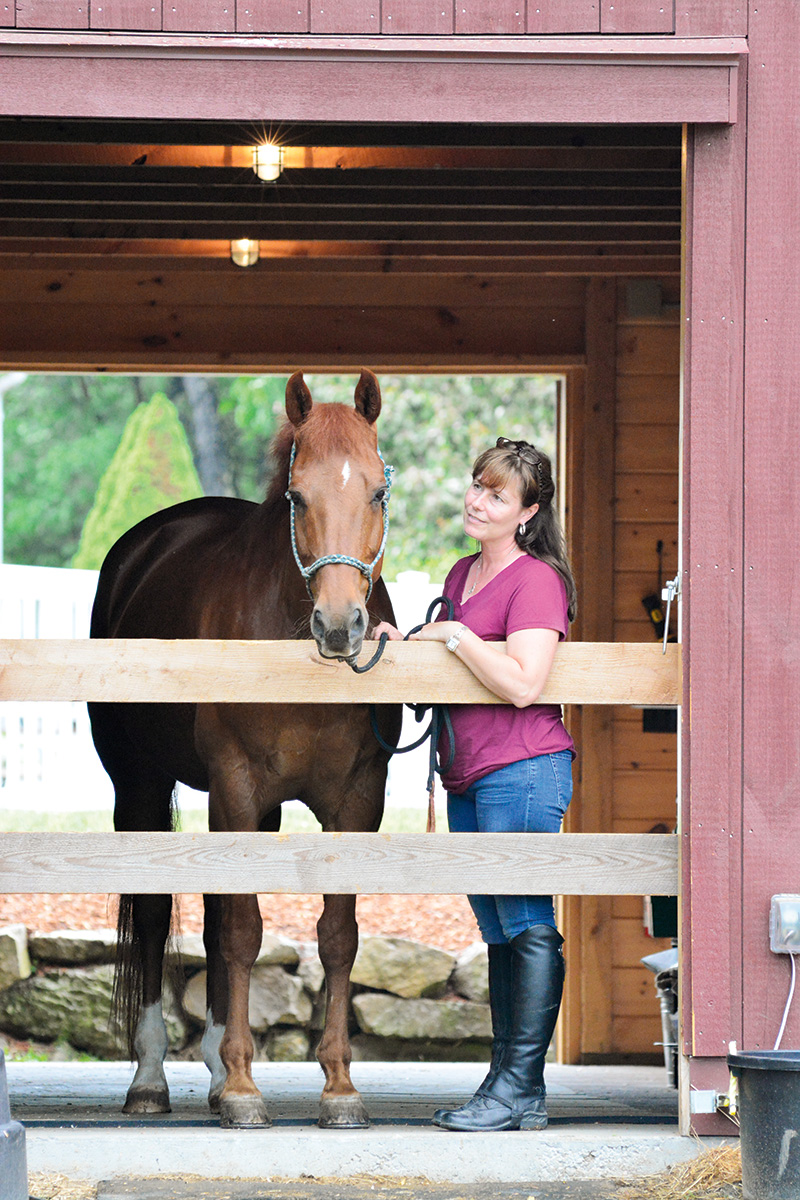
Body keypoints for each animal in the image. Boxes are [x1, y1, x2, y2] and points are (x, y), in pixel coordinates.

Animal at [89, 369, 400, 1128]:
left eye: (377, 492)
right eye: (297, 496)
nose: (341, 626)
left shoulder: (356, 798)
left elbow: (336, 934)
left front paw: (339, 1086)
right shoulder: (235, 784)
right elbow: (240, 932)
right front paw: (241, 1089)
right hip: (142, 789)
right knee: (156, 921)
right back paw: (152, 1077)